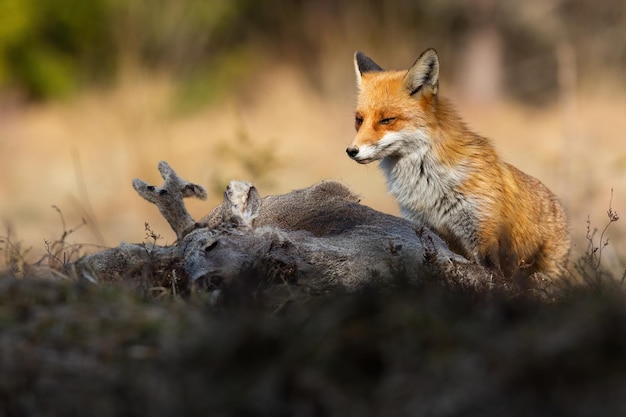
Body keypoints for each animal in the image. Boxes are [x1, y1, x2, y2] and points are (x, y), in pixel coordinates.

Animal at [346, 48, 572, 280]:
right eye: (359, 120)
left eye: (387, 120)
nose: (351, 151)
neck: (428, 183)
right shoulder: (428, 230)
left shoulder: (483, 234)